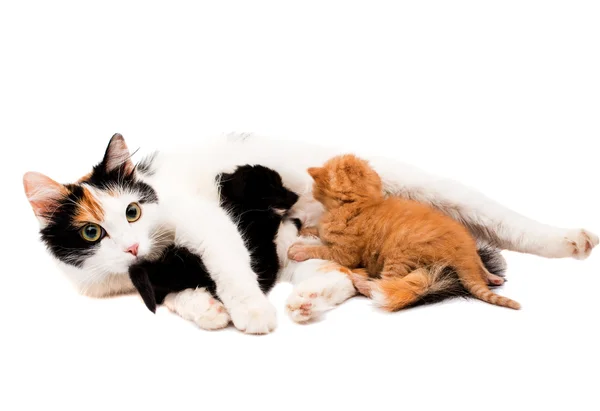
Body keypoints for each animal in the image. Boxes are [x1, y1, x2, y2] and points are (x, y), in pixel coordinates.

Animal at [288, 154, 520, 312]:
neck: (362, 204)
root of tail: (462, 252)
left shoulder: (345, 254)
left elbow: (322, 250)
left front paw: (298, 250)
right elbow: (318, 232)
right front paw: (306, 229)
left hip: (398, 255)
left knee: (383, 284)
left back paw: (360, 281)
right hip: (467, 245)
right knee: (479, 263)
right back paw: (492, 277)